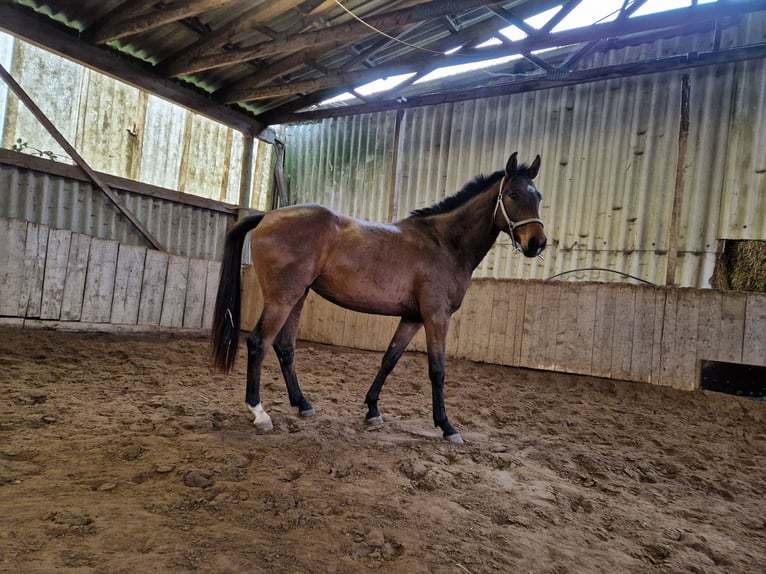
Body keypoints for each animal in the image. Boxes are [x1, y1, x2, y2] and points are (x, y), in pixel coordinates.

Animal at [211, 152, 546, 444]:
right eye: (513, 195)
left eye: (538, 197)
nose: (537, 243)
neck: (444, 244)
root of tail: (268, 215)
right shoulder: (437, 316)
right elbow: (437, 370)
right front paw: (447, 426)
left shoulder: (412, 318)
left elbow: (389, 360)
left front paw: (372, 409)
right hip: (282, 299)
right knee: (258, 343)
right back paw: (259, 412)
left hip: (298, 297)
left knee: (285, 347)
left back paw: (302, 404)